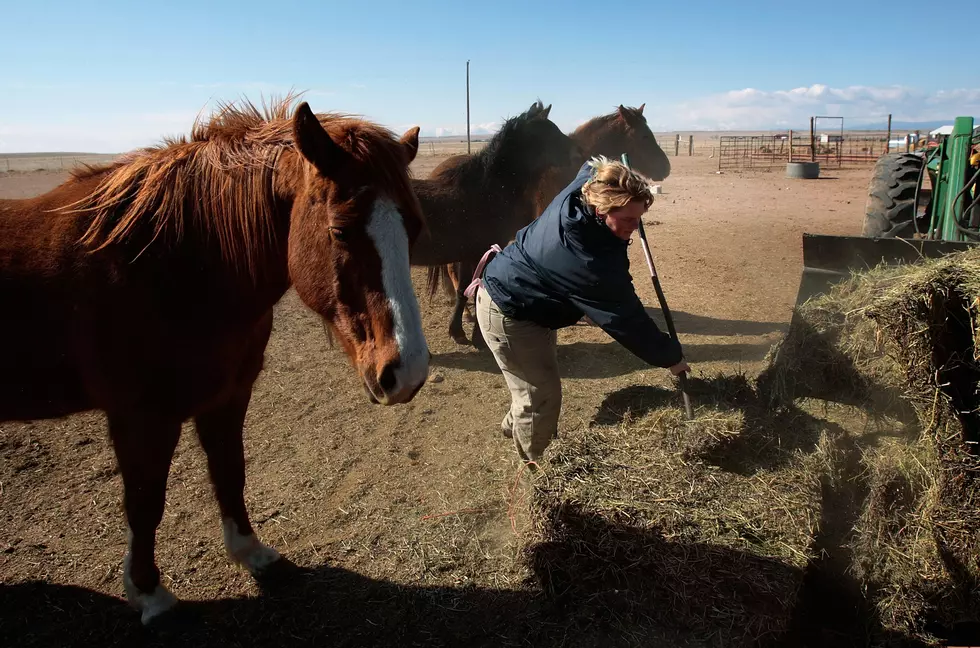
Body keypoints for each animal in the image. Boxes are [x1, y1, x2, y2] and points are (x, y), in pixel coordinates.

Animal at [0, 95, 428, 624]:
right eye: (340, 230)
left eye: (415, 227)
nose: (408, 372)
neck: (179, 268)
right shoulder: (141, 417)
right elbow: (144, 502)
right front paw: (149, 593)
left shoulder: (227, 397)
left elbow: (230, 470)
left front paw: (253, 553)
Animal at [408, 100, 580, 344]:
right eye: (550, 133)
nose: (578, 155)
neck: (487, 192)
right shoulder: (483, 251)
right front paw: (477, 338)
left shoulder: (469, 254)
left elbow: (464, 290)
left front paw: (458, 332)